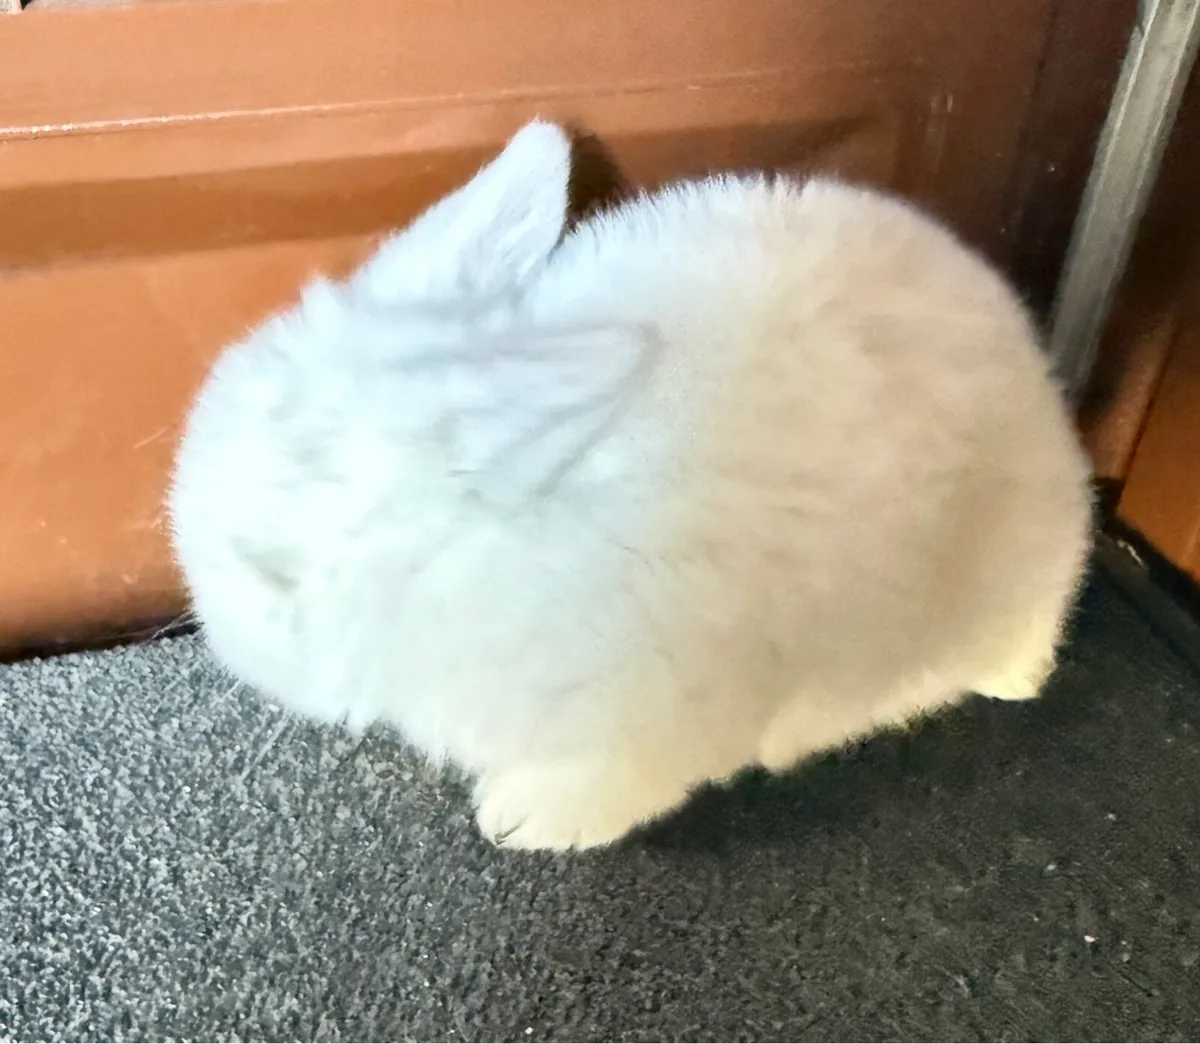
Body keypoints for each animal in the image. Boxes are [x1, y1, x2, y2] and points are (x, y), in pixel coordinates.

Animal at [169, 120, 1093, 851]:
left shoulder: (653, 725)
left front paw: (516, 821)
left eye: (270, 563)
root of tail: (1044, 397)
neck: (461, 556)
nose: (216, 627)